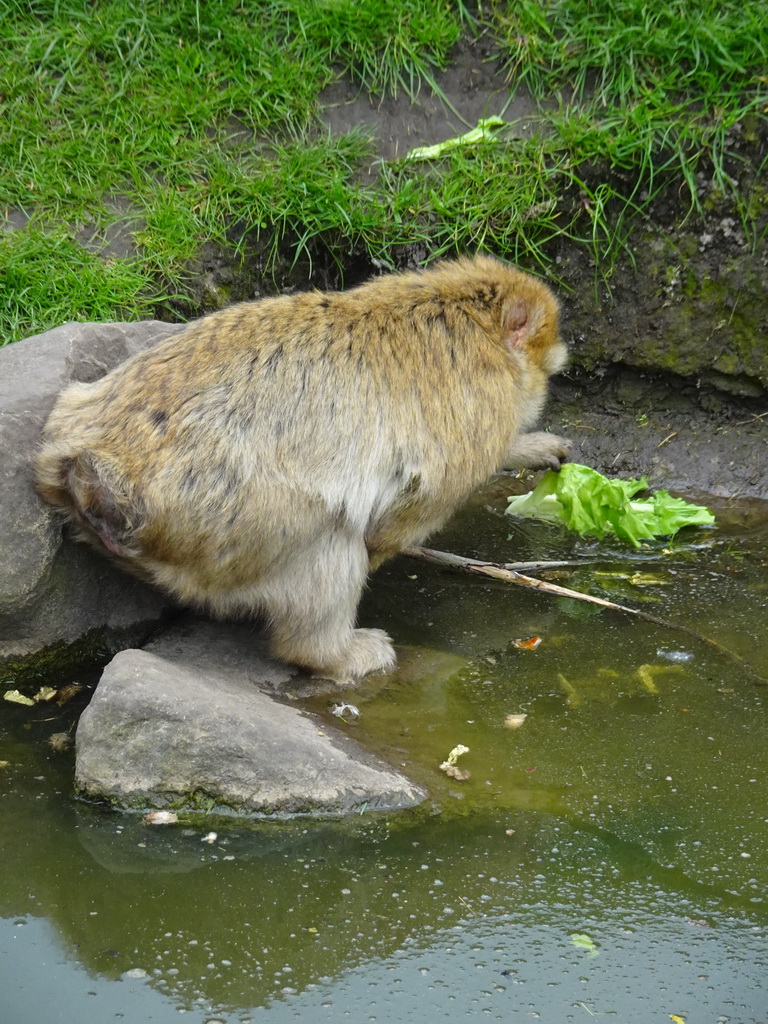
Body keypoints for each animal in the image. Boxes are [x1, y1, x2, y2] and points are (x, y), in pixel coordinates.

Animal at [37, 256, 573, 684]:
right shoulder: (479, 410)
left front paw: (532, 448)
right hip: (233, 526)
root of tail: (99, 471)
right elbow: (411, 511)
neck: (470, 317)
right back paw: (336, 654)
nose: (544, 392)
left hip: (81, 417)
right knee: (328, 533)